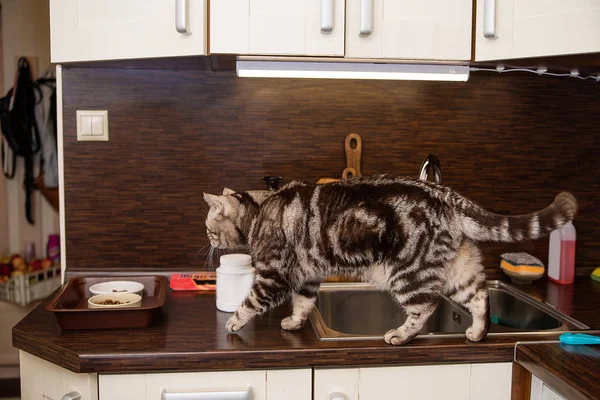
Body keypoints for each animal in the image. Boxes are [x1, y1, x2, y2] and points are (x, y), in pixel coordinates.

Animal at [205, 177, 576, 346]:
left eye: (209, 226)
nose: (208, 241)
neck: (259, 212)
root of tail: (445, 194)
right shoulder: (307, 277)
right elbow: (303, 304)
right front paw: (295, 323)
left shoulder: (275, 275)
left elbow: (250, 302)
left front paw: (233, 324)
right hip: (459, 270)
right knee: (480, 295)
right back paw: (477, 331)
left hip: (408, 273)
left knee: (425, 307)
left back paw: (401, 334)